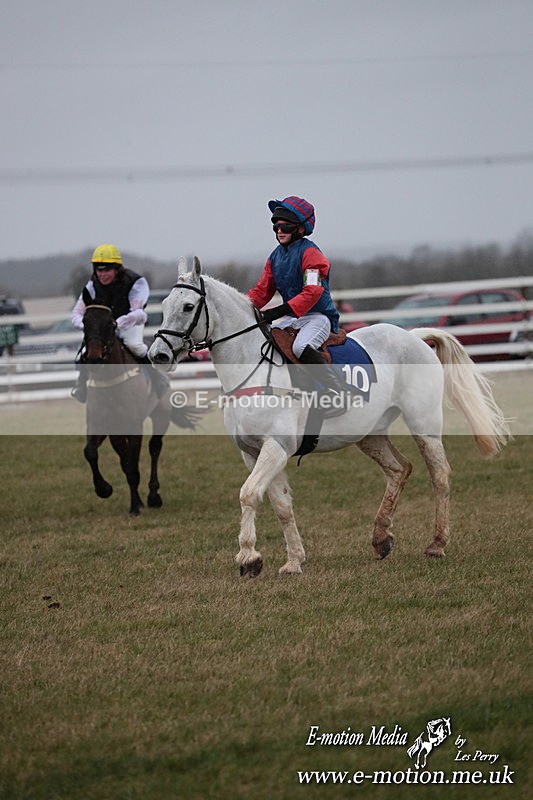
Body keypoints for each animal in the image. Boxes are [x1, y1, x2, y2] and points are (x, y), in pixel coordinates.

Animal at [81, 303, 195, 515]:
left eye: (110, 324)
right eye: (84, 322)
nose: (93, 358)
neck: (110, 383)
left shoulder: (135, 426)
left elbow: (133, 466)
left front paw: (135, 505)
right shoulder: (101, 424)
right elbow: (92, 452)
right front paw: (104, 488)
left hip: (161, 416)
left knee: (155, 447)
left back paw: (153, 496)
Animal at [149, 257, 510, 575]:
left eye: (188, 307)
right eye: (164, 305)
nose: (158, 355)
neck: (253, 369)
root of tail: (413, 336)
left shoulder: (275, 447)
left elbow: (249, 494)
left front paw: (249, 557)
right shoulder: (252, 452)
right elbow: (281, 506)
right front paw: (294, 561)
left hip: (425, 426)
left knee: (440, 476)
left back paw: (436, 544)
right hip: (369, 435)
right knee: (399, 469)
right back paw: (381, 538)